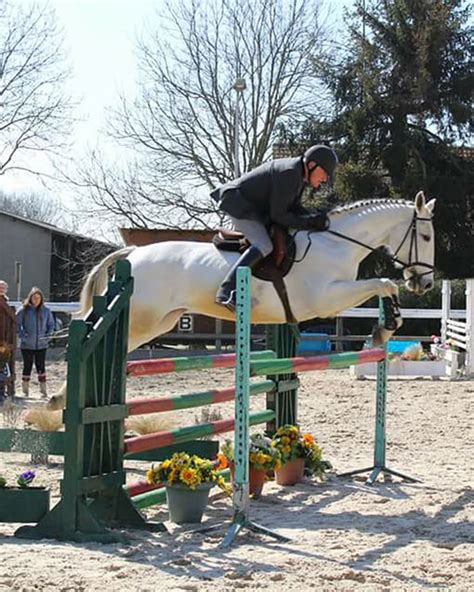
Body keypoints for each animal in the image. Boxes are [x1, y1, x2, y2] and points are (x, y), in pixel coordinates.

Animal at [47, 192, 434, 410]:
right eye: (428, 236)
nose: (426, 282)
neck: (337, 242)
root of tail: (134, 254)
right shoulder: (326, 299)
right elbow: (384, 283)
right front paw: (383, 330)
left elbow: (386, 287)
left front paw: (385, 329)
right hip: (143, 318)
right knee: (92, 337)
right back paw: (60, 401)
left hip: (160, 321)